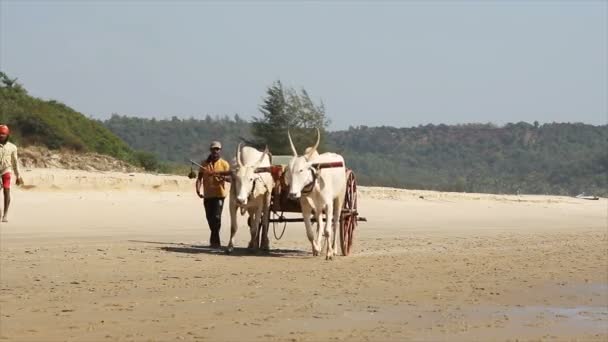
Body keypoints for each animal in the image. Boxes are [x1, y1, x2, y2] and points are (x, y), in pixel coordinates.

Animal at [282, 128, 344, 260]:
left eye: (301, 170)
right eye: (289, 171)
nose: (292, 194)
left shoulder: (329, 205)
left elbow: (328, 230)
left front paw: (329, 253)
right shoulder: (306, 207)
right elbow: (310, 233)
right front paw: (316, 249)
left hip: (339, 199)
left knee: (335, 223)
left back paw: (334, 249)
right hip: (318, 208)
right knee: (320, 224)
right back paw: (320, 247)